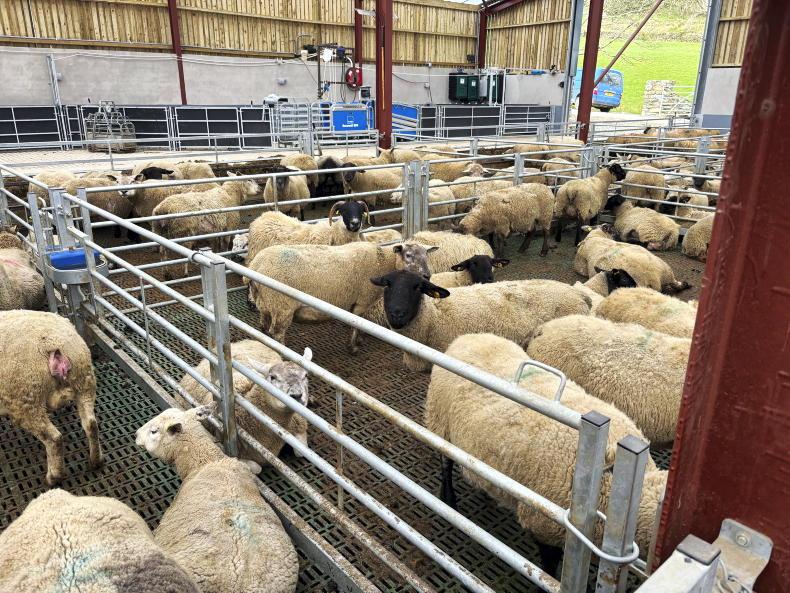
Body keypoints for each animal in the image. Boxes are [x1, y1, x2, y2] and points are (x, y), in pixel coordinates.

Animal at [0, 310, 102, 485]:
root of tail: (53, 348)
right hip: (85, 381)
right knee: (91, 424)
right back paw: (95, 460)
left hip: (26, 400)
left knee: (54, 438)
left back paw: (53, 477)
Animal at [176, 340, 311, 463]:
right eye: (272, 377)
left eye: (305, 375)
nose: (297, 395)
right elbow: (256, 468)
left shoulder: (299, 421)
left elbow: (300, 452)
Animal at [248, 241, 435, 352]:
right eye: (408, 255)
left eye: (427, 255)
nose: (427, 275)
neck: (384, 262)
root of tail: (256, 264)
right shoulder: (362, 300)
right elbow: (358, 322)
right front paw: (353, 346)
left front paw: (358, 341)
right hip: (282, 306)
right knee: (277, 333)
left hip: (265, 303)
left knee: (264, 327)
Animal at [426, 333, 666, 574]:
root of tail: (468, 337)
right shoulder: (545, 522)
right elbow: (549, 565)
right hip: (440, 422)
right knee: (445, 462)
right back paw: (448, 499)